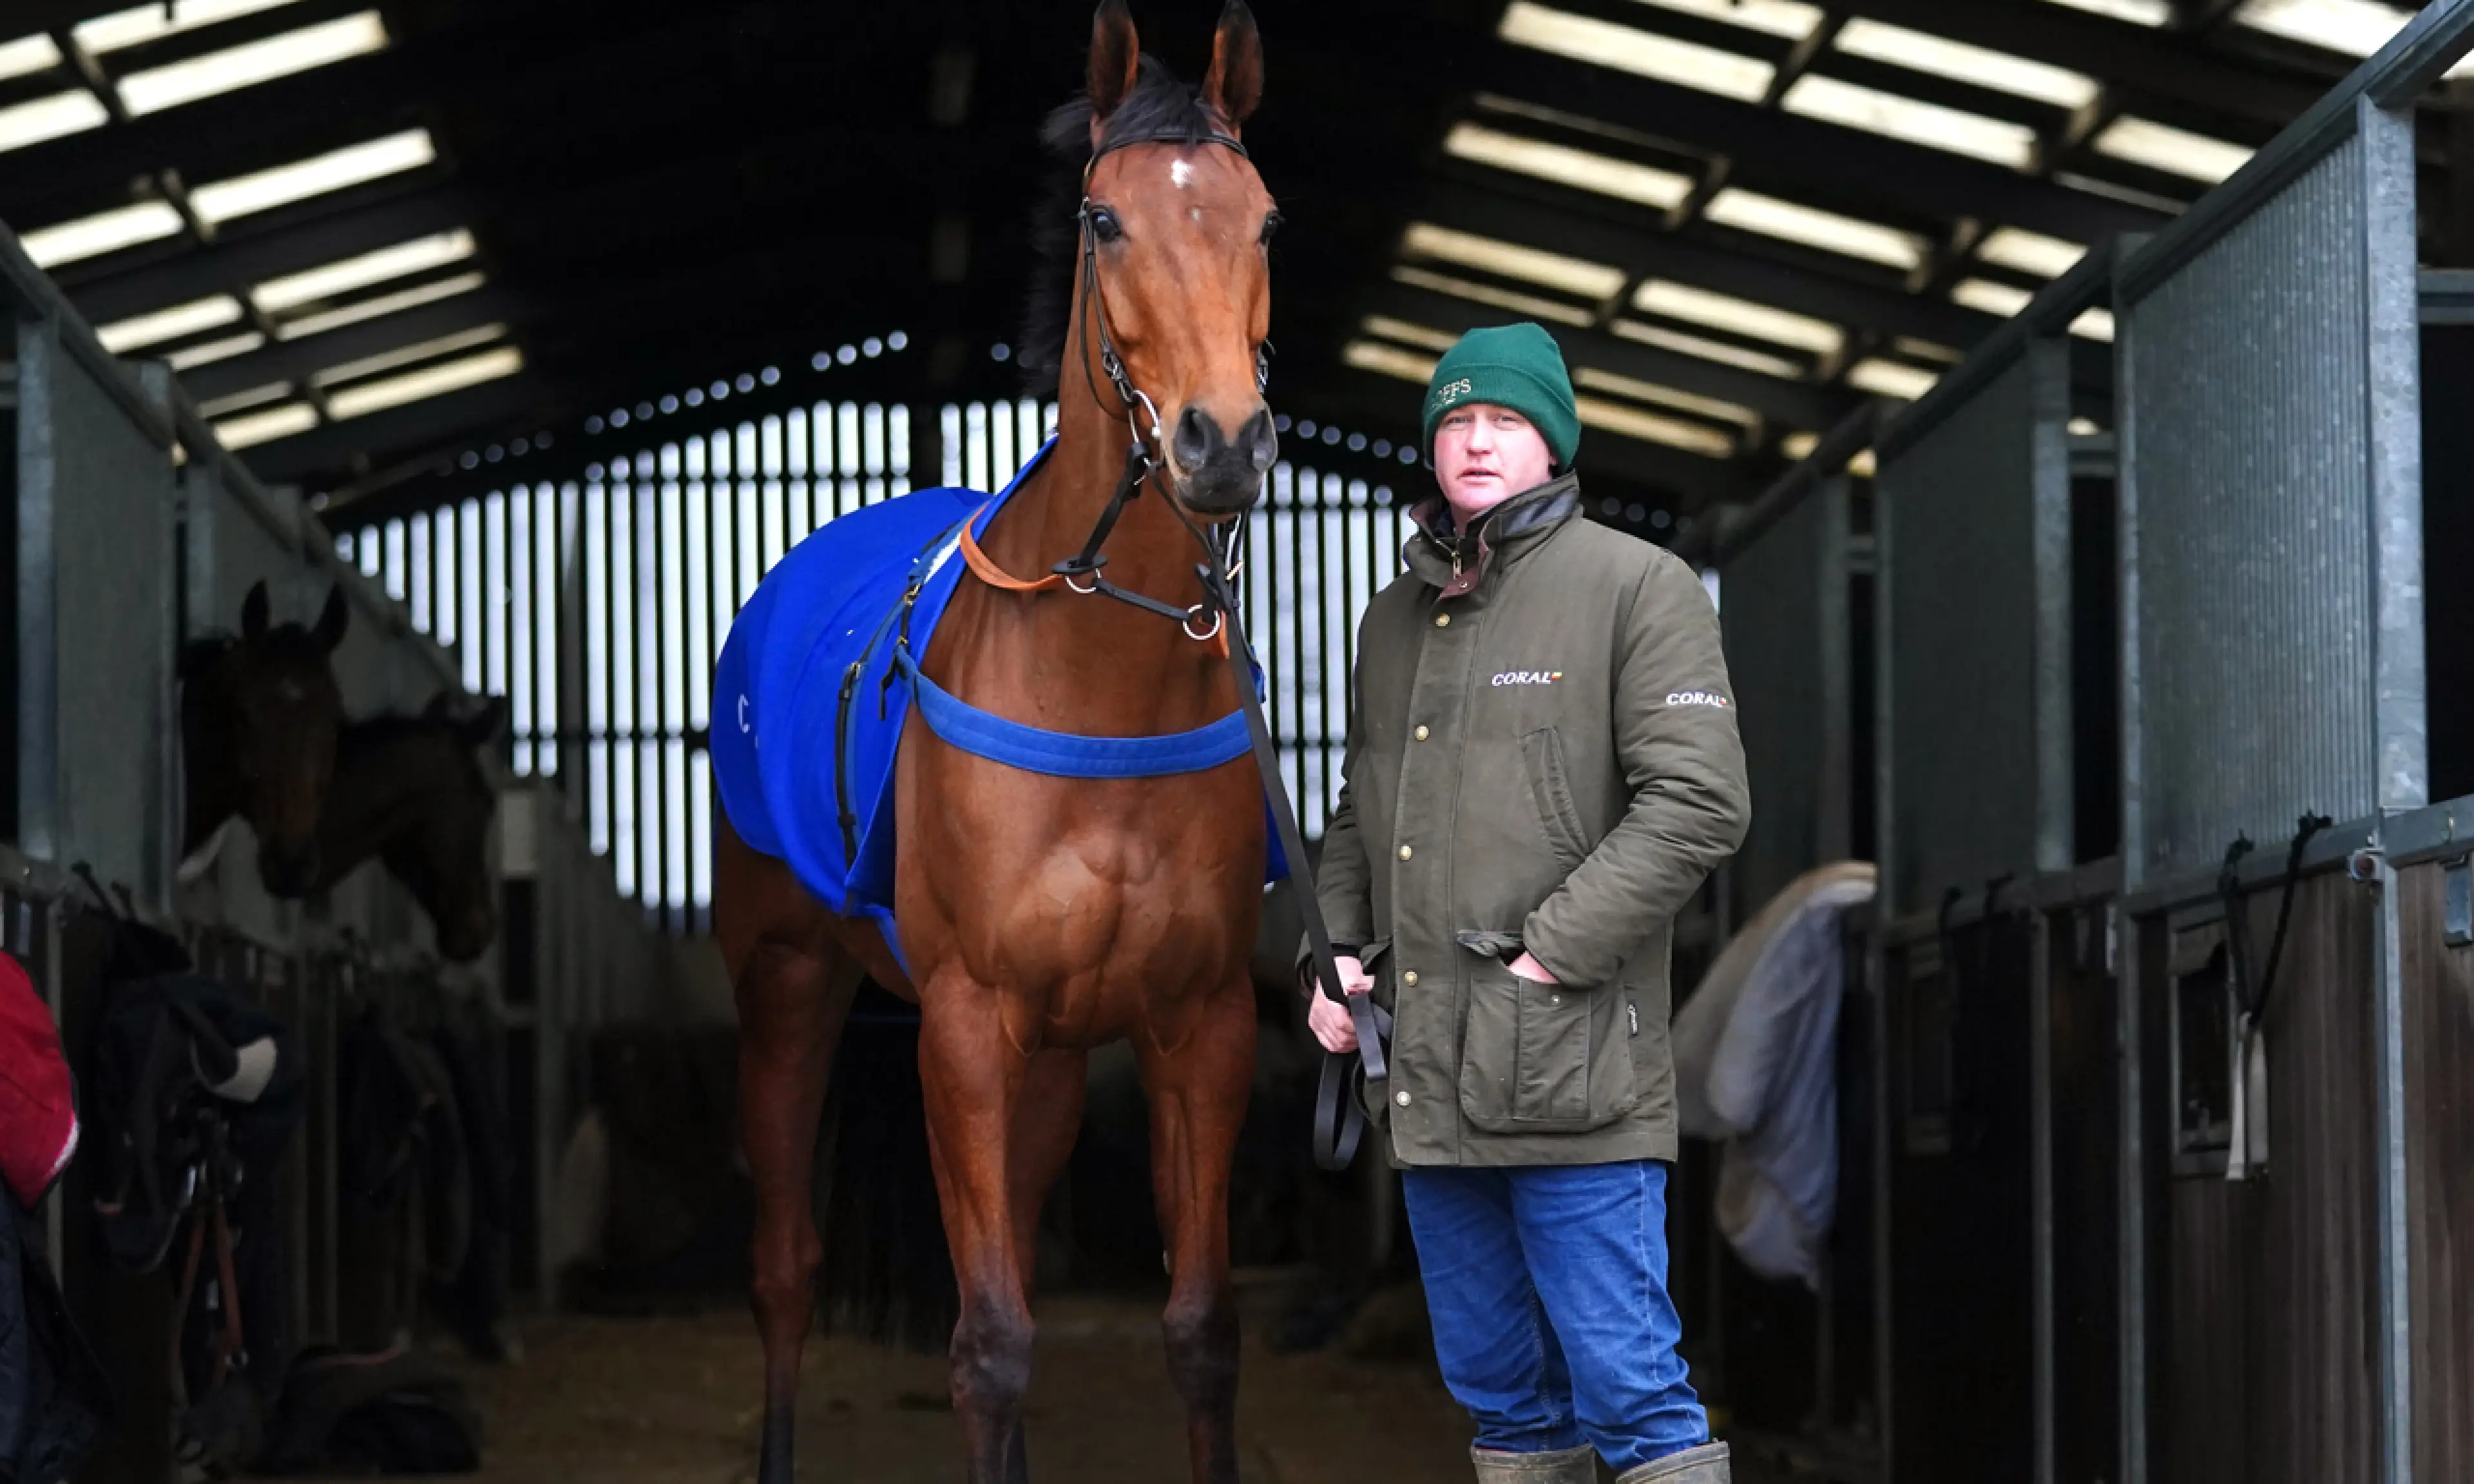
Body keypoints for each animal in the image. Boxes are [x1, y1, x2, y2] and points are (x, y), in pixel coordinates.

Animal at [712, 5, 1277, 1480]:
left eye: (1265, 218)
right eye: (1105, 219)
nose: (1222, 443)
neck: (1102, 686)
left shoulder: (1200, 1023)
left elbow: (1203, 1333)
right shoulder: (963, 1022)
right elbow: (990, 1342)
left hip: (1060, 1057)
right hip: (787, 983)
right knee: (783, 1266)